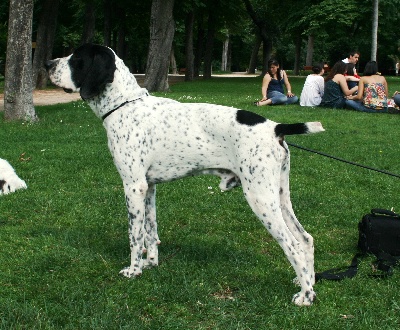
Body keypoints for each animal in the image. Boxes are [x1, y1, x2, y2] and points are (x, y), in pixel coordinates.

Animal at [45, 43, 324, 306]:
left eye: (76, 58)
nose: (47, 63)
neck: (124, 106)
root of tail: (275, 127)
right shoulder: (149, 188)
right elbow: (150, 232)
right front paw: (150, 264)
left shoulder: (133, 187)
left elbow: (135, 236)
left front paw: (134, 270)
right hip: (279, 197)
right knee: (306, 239)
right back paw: (306, 281)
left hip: (260, 198)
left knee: (294, 246)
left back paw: (306, 296)